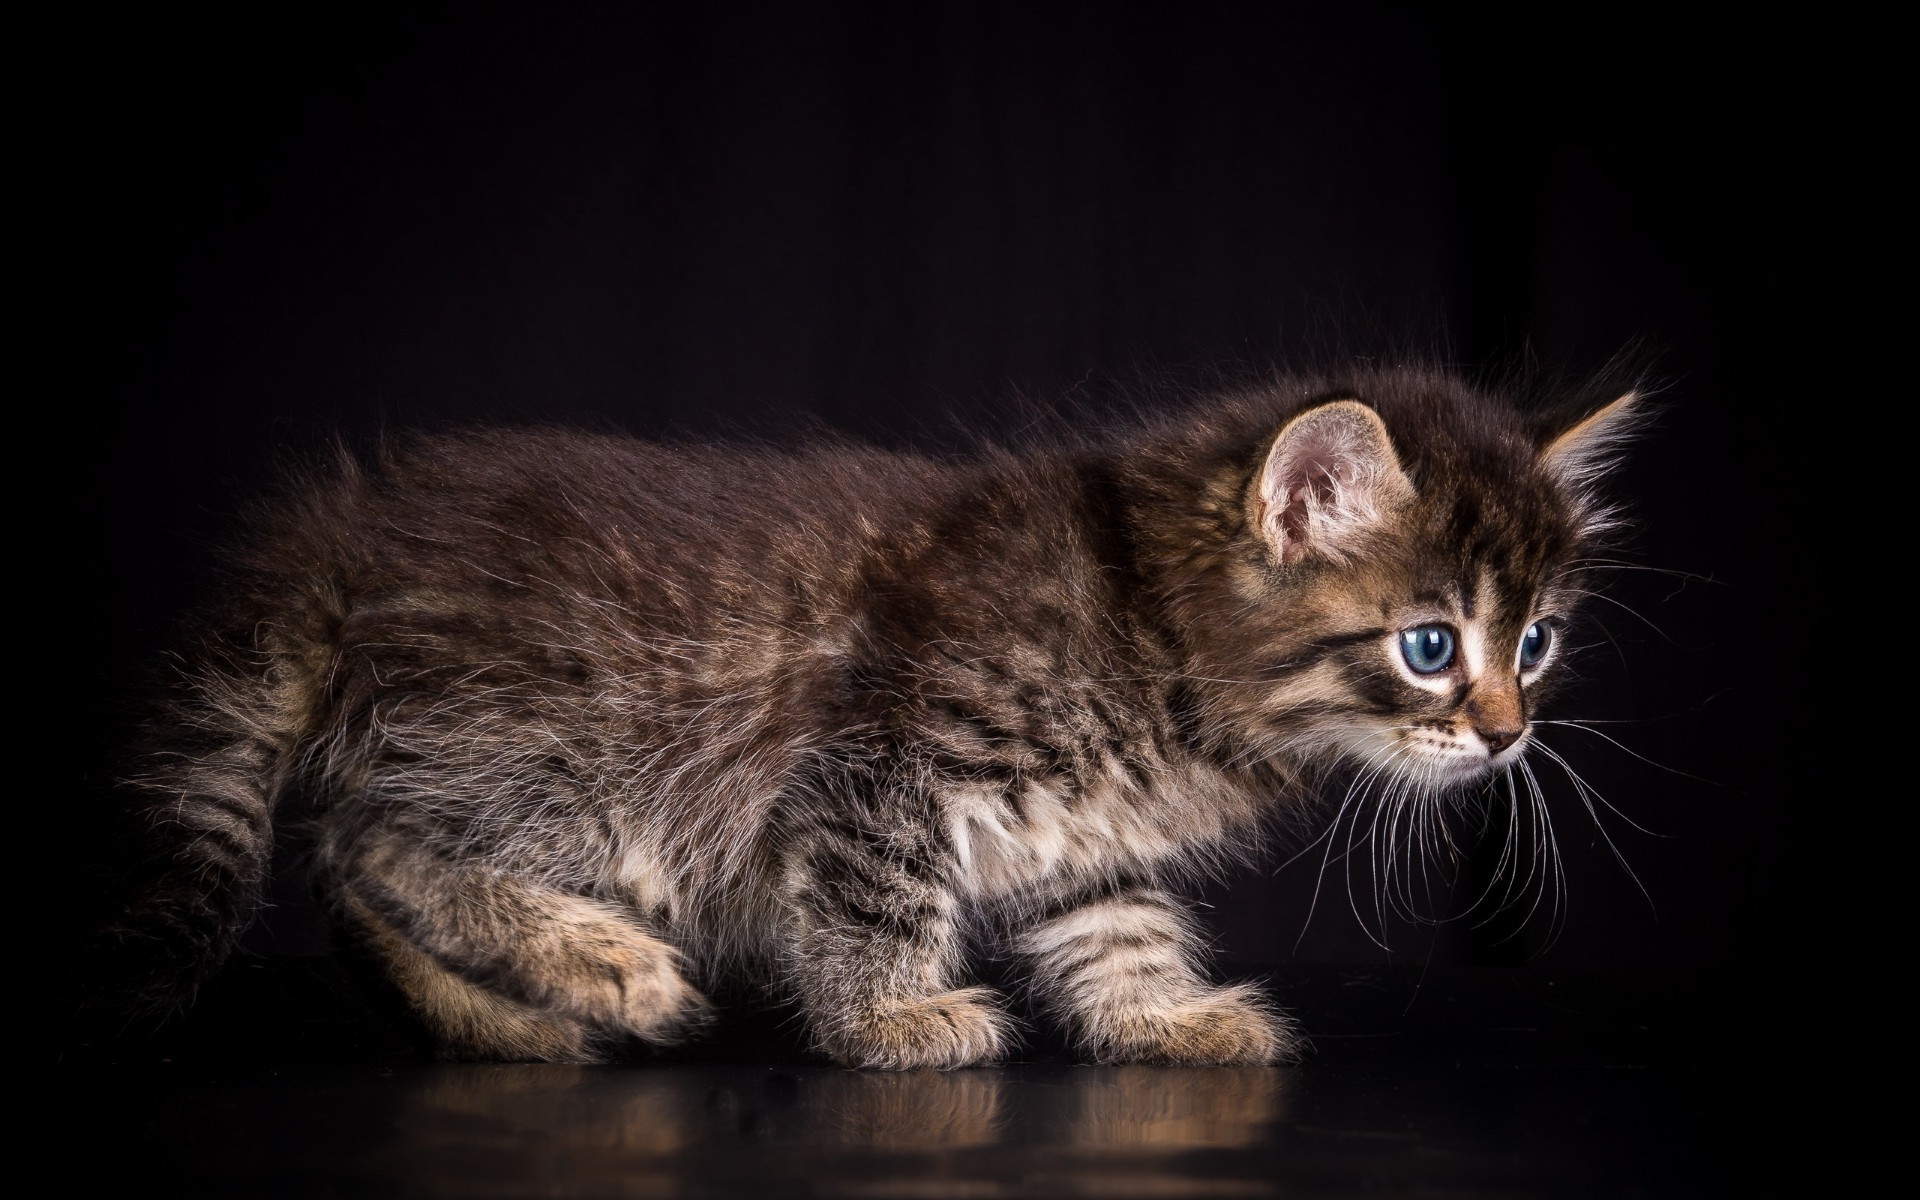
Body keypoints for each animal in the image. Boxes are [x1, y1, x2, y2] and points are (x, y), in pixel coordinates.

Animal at [101, 364, 1635, 1067]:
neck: (1150, 621)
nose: (1509, 732)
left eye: (1539, 641)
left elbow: (1116, 927)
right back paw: (606, 966)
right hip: (569, 762)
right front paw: (890, 1021)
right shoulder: (885, 755)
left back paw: (516, 1013)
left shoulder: (1088, 838)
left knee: (352, 861)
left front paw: (1166, 1017)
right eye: (1431, 646)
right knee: (374, 847)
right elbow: (873, 896)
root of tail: (348, 526)